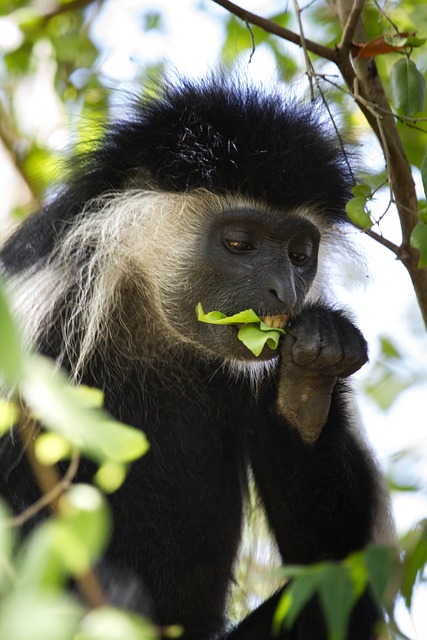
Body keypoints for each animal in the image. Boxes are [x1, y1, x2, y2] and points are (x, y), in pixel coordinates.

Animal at [0, 80, 394, 640]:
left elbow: (333, 551)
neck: (151, 316)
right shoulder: (42, 311)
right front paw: (106, 590)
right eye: (239, 243)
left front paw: (310, 377)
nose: (284, 291)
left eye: (300, 254)